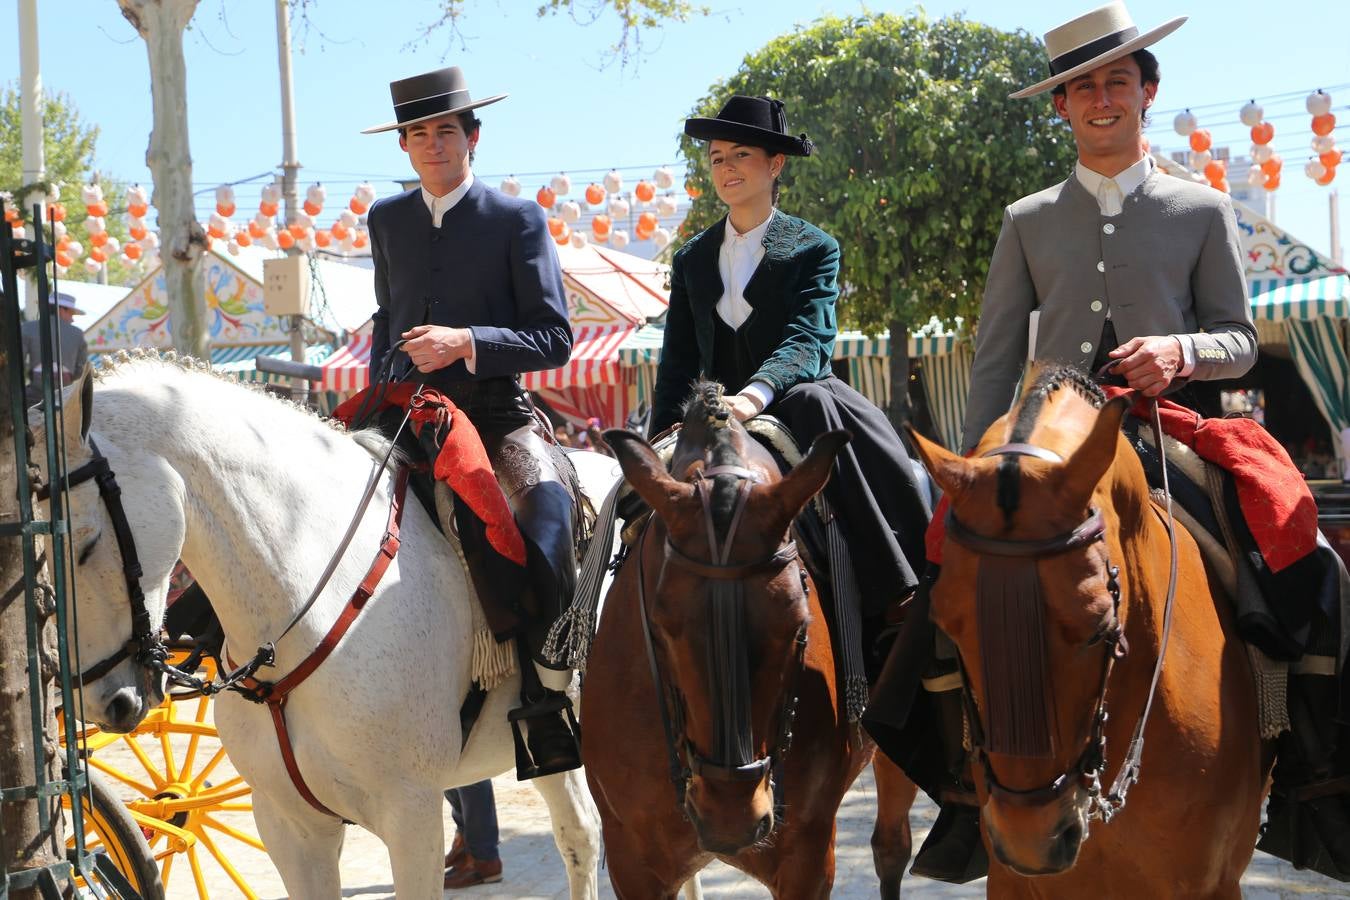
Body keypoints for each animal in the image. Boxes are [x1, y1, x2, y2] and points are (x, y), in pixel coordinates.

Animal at [588, 383, 918, 895]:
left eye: (801, 625)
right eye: (659, 626)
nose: (731, 818)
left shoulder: (807, 856)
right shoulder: (631, 861)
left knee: (891, 848)